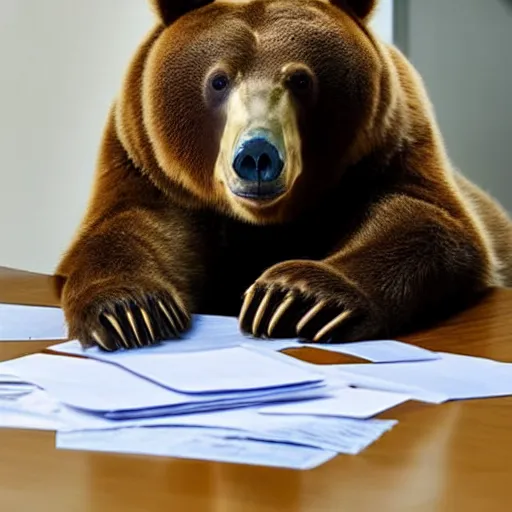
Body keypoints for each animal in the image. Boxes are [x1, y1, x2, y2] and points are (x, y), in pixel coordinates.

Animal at [54, 0, 512, 352]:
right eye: (218, 80)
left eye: (301, 79)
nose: (257, 154)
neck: (264, 224)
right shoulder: (145, 166)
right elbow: (132, 227)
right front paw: (131, 313)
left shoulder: (390, 148)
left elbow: (427, 221)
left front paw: (291, 298)